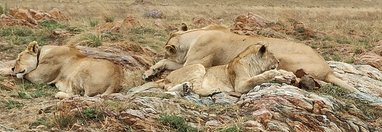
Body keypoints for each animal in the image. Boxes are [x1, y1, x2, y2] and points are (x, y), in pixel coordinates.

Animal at [144, 24, 358, 93]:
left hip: (283, 58)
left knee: (299, 77)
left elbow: (171, 65)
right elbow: (166, 64)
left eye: (165, 50)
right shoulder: (187, 62)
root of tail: (328, 69)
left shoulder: (196, 62)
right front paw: (149, 72)